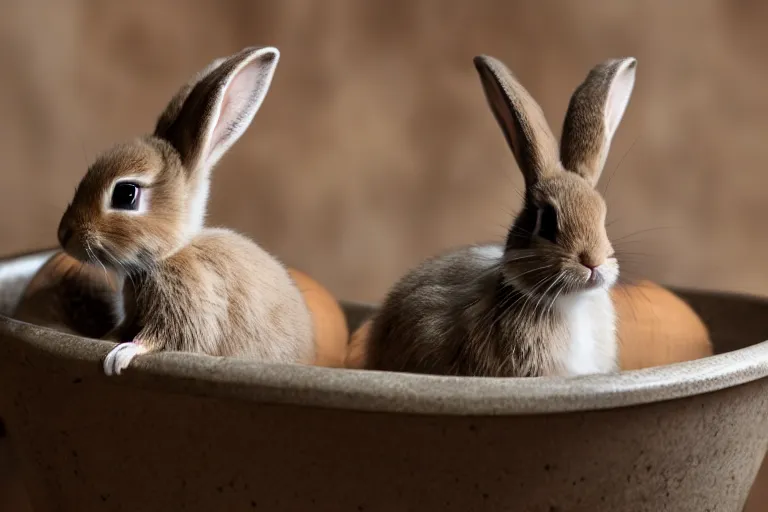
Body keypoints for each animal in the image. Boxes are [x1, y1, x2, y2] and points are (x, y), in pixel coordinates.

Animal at [55, 47, 316, 376]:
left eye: (126, 194)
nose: (64, 234)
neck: (167, 255)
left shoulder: (188, 309)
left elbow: (160, 338)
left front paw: (120, 356)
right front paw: (106, 339)